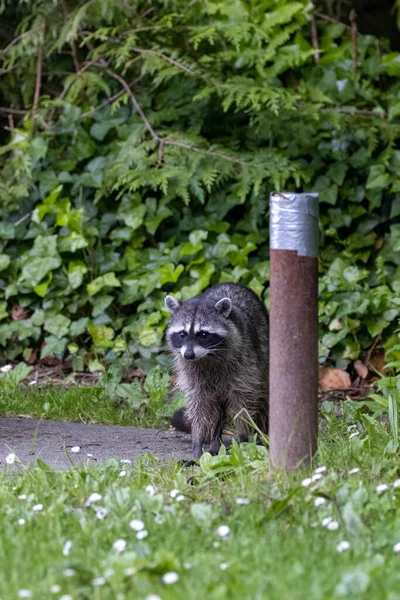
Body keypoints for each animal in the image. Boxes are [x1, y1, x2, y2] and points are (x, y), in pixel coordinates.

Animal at [166, 282, 268, 460]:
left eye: (203, 334)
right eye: (182, 334)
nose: (189, 354)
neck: (206, 357)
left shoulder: (244, 366)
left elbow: (243, 404)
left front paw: (243, 440)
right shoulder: (192, 374)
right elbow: (199, 408)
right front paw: (197, 442)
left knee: (262, 397)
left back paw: (261, 435)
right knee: (214, 411)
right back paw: (215, 442)